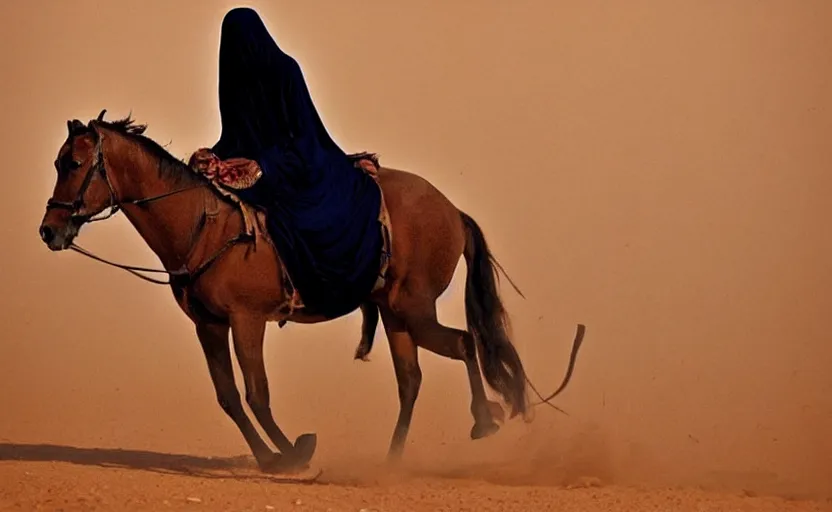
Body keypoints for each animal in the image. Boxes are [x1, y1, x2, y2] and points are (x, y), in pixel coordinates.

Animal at [39, 110, 584, 474]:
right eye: (58, 160)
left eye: (74, 163)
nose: (50, 230)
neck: (203, 225)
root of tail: (452, 210)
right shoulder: (209, 325)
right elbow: (229, 397)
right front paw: (271, 458)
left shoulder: (246, 320)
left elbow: (257, 394)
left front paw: (294, 453)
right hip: (394, 313)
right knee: (412, 378)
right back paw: (392, 462)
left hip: (414, 308)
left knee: (463, 343)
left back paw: (482, 421)